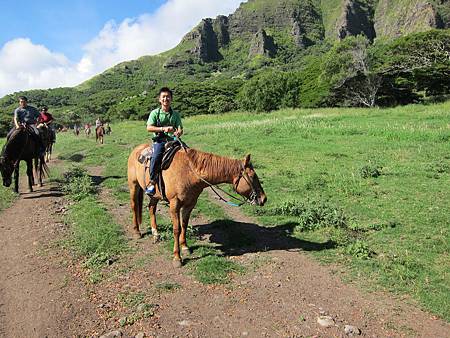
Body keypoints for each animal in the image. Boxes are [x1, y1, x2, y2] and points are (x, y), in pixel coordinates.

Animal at [126, 144, 268, 268]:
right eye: (252, 176)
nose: (263, 198)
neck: (190, 172)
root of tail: (137, 149)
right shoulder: (174, 204)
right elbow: (176, 229)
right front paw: (177, 258)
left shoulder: (190, 203)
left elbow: (184, 225)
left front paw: (185, 247)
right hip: (134, 185)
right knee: (134, 206)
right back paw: (137, 232)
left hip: (155, 194)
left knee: (151, 208)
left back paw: (155, 234)